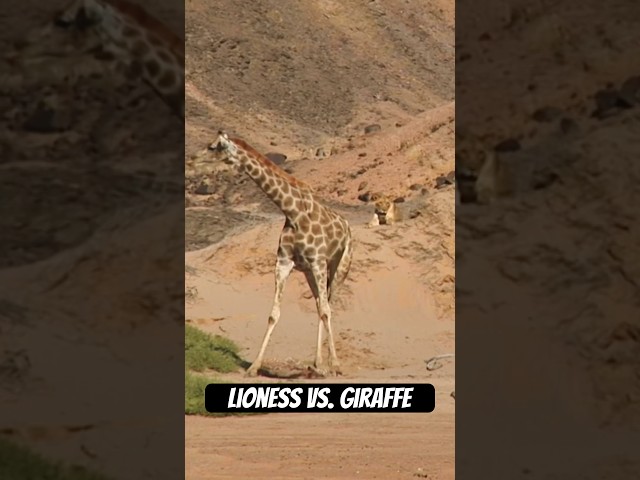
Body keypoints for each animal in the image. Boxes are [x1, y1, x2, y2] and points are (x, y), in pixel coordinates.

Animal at [203, 131, 354, 377]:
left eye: (215, 147)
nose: (192, 161)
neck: (293, 211)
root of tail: (347, 226)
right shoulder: (284, 262)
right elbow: (274, 313)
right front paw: (254, 366)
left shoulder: (318, 261)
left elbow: (326, 310)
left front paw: (337, 365)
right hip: (310, 273)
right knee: (319, 304)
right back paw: (317, 363)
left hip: (339, 266)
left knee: (328, 304)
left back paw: (330, 363)